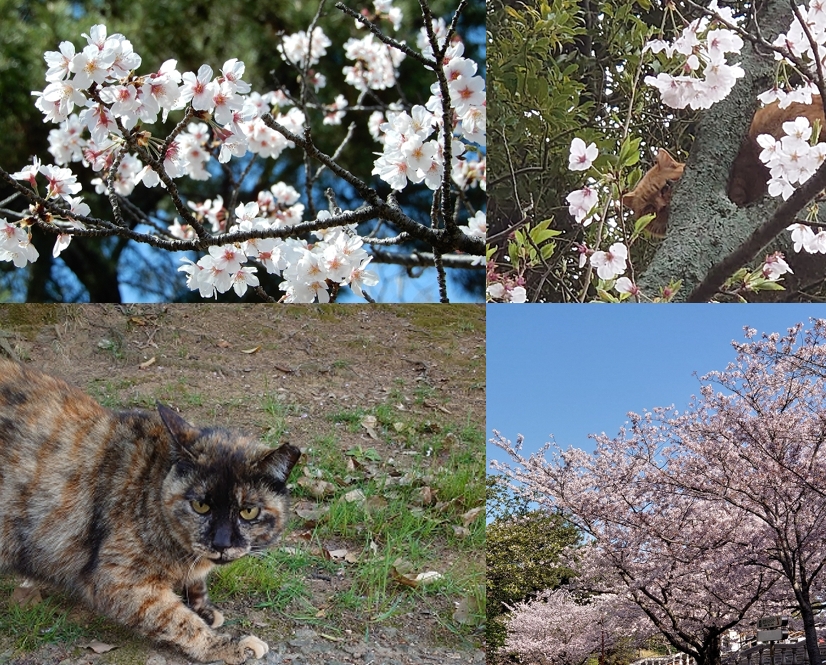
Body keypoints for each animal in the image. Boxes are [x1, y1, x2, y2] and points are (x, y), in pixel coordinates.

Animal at [0, 360, 300, 660]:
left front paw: (202, 606)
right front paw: (226, 645)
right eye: (200, 506)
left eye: (247, 512)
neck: (152, 485)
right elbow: (177, 620)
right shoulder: (119, 579)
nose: (221, 543)